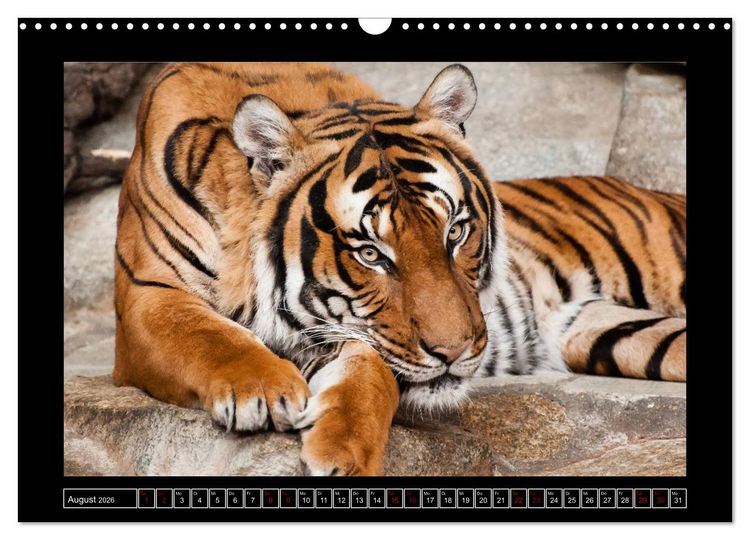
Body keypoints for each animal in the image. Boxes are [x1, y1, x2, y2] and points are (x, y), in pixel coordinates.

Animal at [113, 62, 686, 476]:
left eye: (454, 233)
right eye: (371, 254)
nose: (454, 353)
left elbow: (371, 373)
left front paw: (345, 452)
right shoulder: (146, 295)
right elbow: (202, 333)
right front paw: (263, 389)